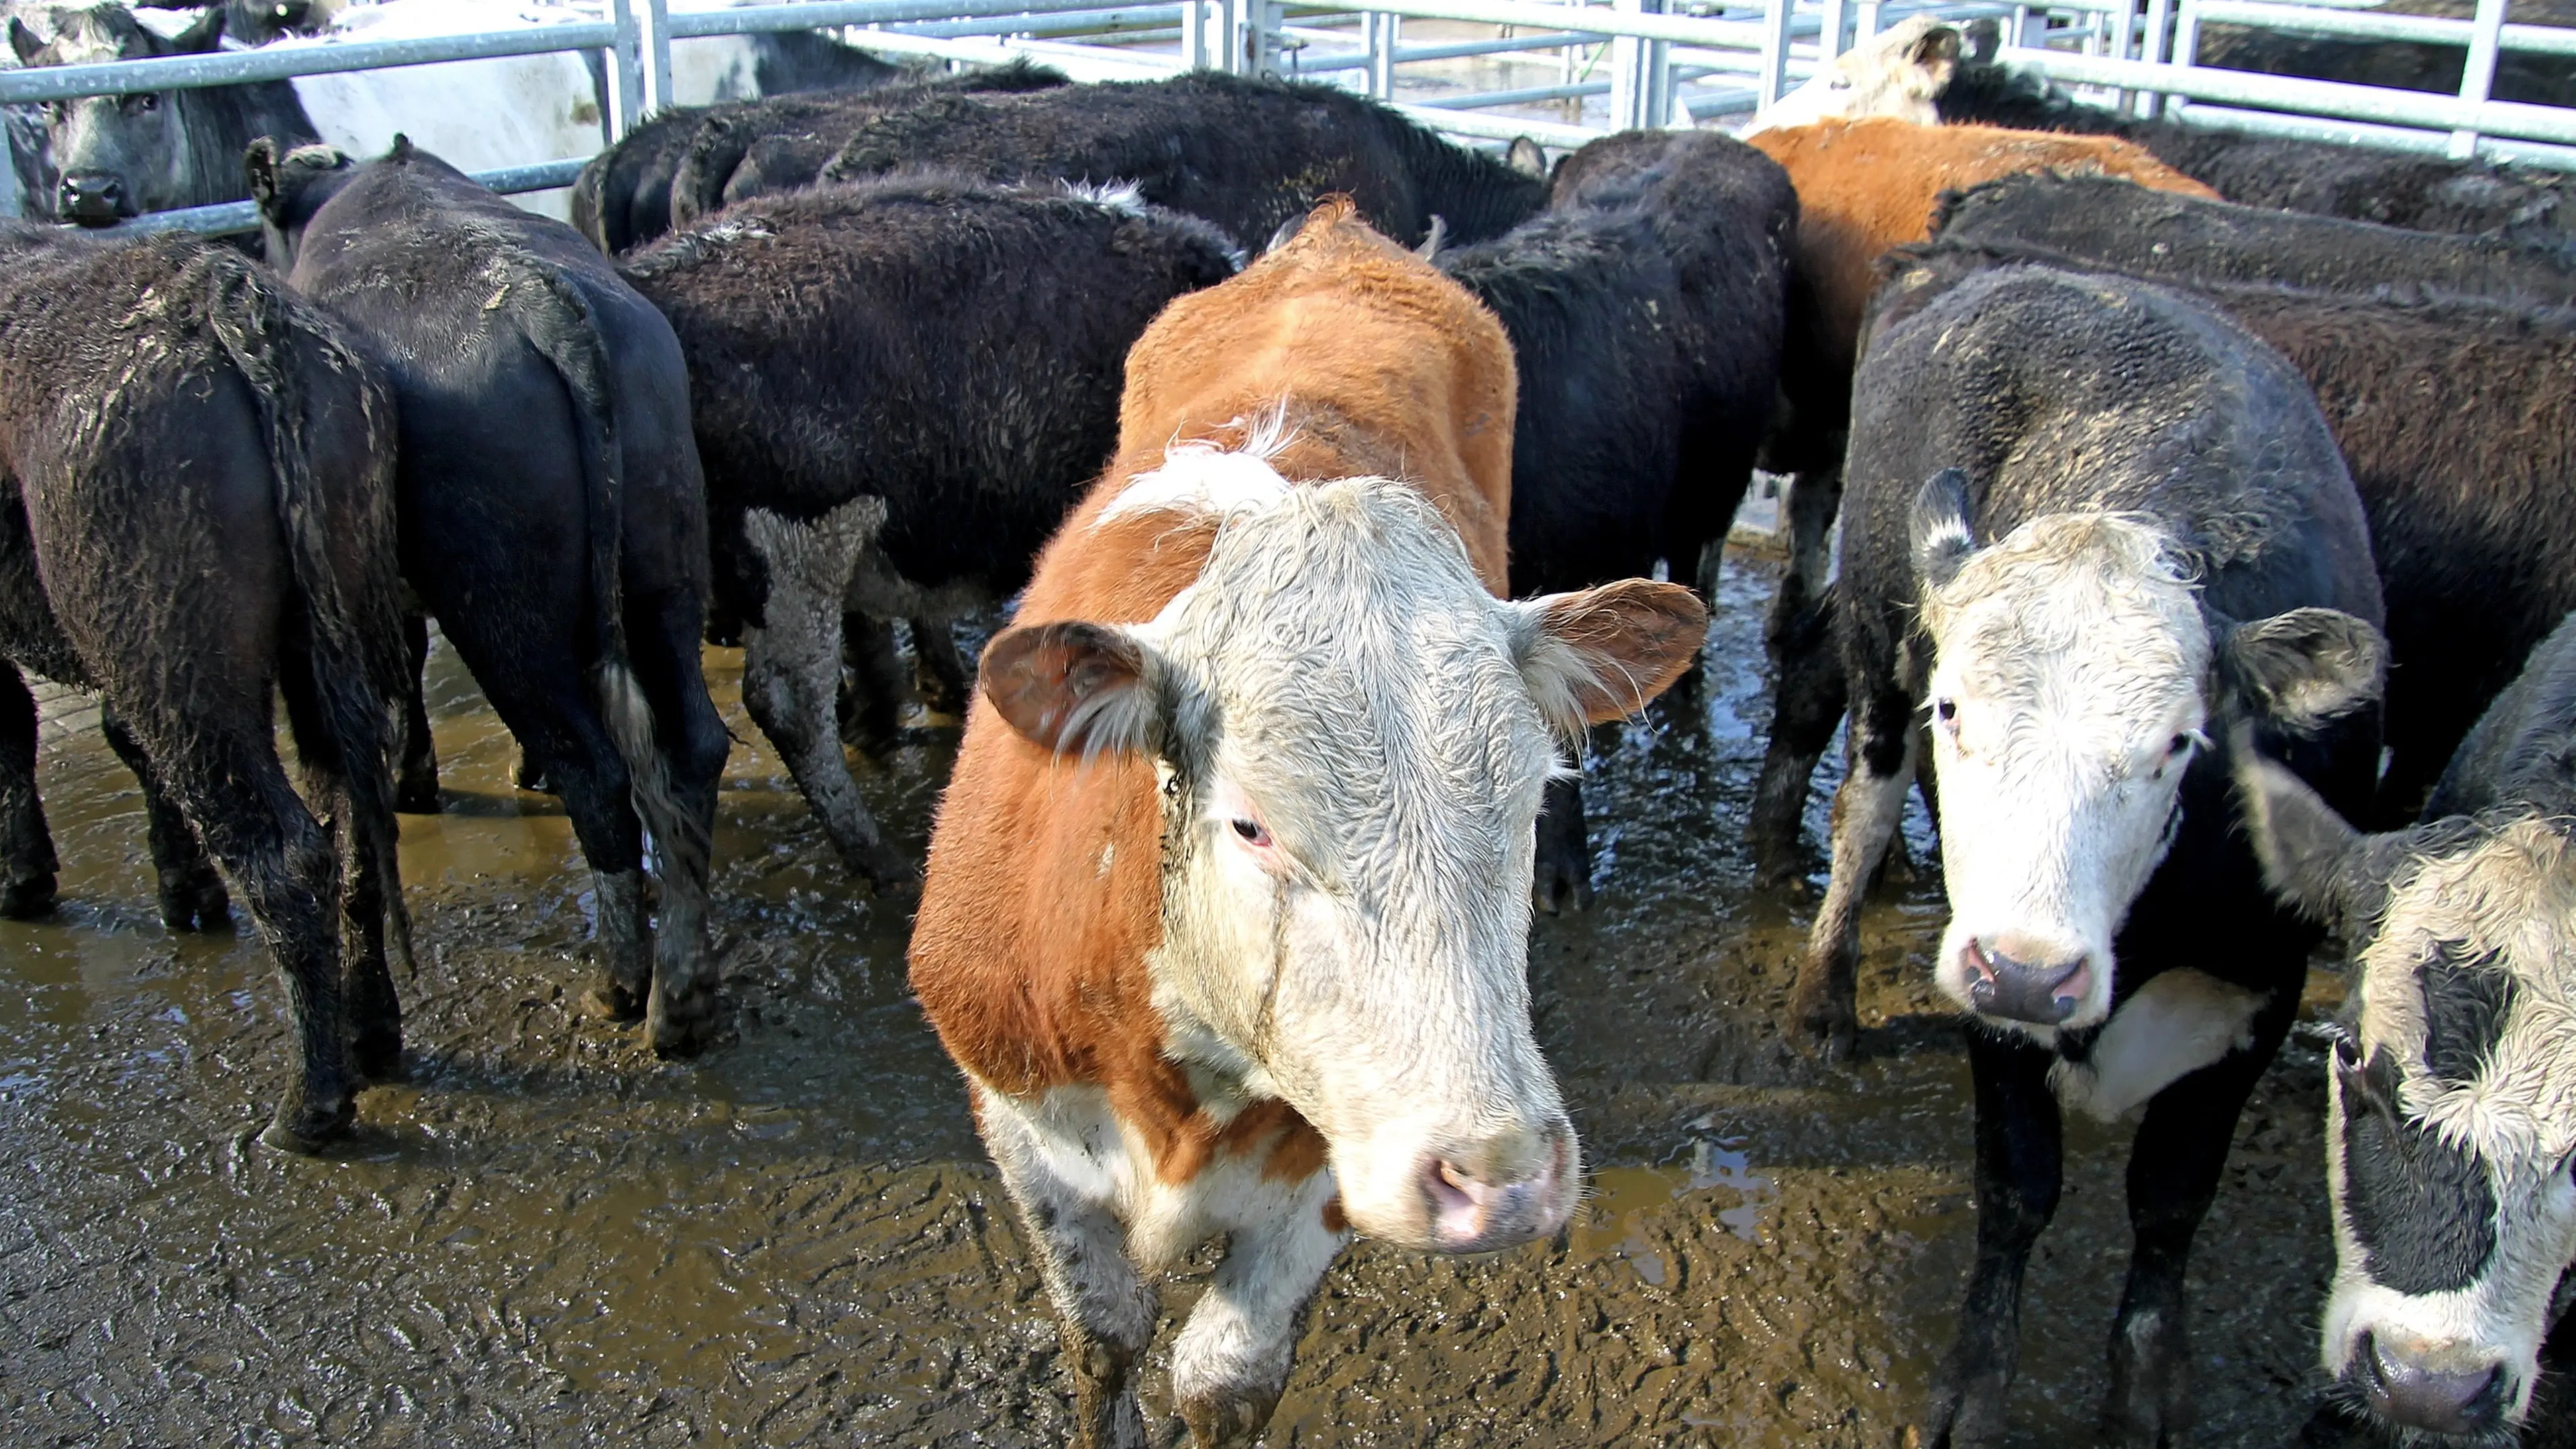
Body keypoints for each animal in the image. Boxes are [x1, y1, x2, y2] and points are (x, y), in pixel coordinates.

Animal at [0, 223, 410, 1151]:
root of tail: (219, 296)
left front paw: (24, 880)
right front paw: (181, 890)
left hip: (184, 676)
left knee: (282, 855)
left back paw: (307, 1107)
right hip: (325, 652)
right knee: (350, 833)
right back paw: (368, 1033)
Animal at [246, 137, 730, 1056]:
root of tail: (540, 299)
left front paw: (415, 780)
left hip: (499, 608)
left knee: (598, 776)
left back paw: (620, 982)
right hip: (666, 566)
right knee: (692, 746)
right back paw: (681, 992)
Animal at [908, 195, 1705, 1449]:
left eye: (1530, 800)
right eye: (1250, 827)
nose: (1499, 1175)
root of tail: (1338, 233)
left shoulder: (1327, 1168)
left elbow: (1223, 1375)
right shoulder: (1021, 1125)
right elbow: (1105, 1335)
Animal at [1798, 261, 2387, 1445]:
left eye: (2178, 743)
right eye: (1954, 706)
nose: (2032, 974)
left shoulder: (2263, 991)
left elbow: (2171, 1202)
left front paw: (2145, 1387)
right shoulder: (1990, 978)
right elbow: (2017, 1187)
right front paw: (1974, 1385)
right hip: (1875, 644)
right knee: (1865, 811)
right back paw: (1829, 991)